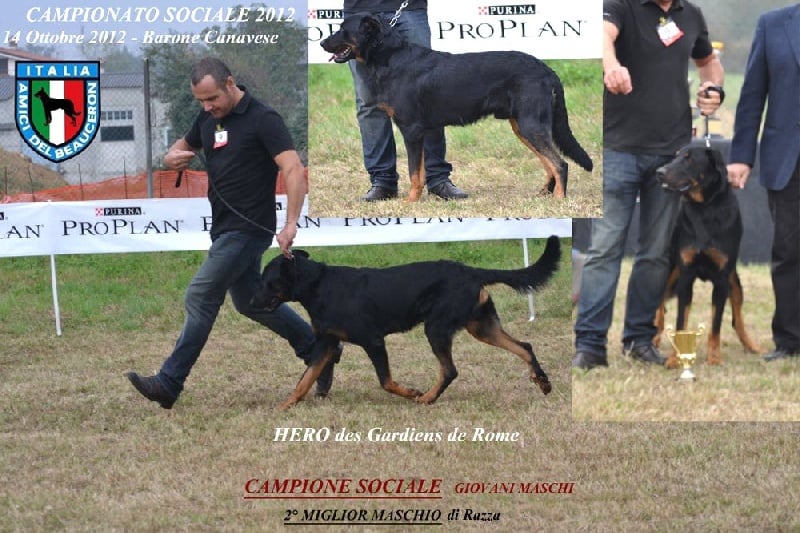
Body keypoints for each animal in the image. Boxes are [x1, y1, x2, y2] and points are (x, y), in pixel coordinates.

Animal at [251, 236, 561, 409]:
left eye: (267, 282)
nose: (251, 302)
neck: (319, 286)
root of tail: (471, 272)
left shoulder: (373, 341)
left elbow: (386, 381)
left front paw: (411, 392)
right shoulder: (326, 342)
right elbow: (304, 379)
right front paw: (285, 406)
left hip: (436, 328)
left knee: (450, 370)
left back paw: (427, 398)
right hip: (481, 326)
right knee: (524, 346)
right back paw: (543, 382)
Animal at [320, 13, 593, 201]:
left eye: (343, 30)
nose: (322, 43)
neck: (390, 57)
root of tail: (547, 70)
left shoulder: (412, 130)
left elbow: (413, 172)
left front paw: (410, 202)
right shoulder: (419, 131)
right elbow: (419, 171)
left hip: (530, 124)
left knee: (560, 163)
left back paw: (559, 199)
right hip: (522, 126)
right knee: (549, 163)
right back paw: (544, 194)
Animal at [655, 145, 761, 367]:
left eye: (689, 159)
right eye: (675, 156)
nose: (659, 172)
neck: (704, 208)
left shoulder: (721, 279)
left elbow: (716, 324)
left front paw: (714, 357)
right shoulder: (686, 275)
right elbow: (680, 322)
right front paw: (675, 359)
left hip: (734, 282)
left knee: (737, 319)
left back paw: (752, 346)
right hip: (669, 271)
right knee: (659, 306)